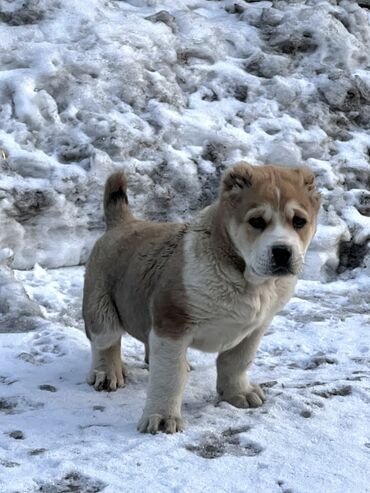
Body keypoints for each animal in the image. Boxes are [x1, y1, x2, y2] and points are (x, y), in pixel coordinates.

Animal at [82, 161, 320, 430]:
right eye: (257, 221)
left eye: (299, 221)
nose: (282, 251)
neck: (248, 280)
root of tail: (122, 222)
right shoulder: (172, 325)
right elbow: (169, 377)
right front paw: (162, 417)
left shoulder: (255, 328)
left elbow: (237, 361)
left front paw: (238, 393)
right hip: (99, 305)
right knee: (106, 342)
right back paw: (107, 373)